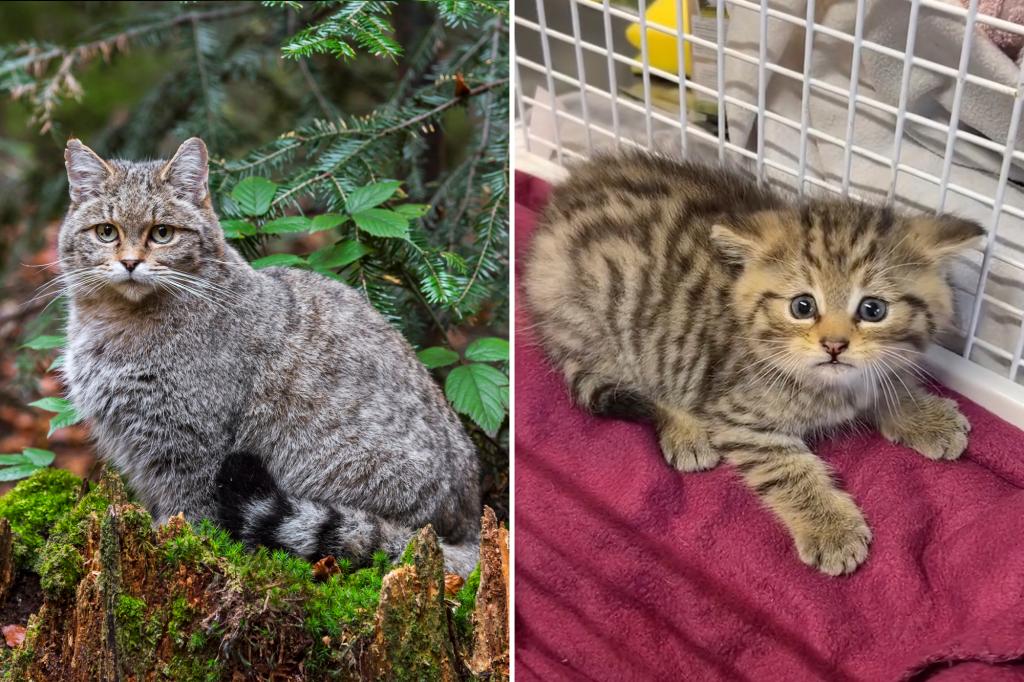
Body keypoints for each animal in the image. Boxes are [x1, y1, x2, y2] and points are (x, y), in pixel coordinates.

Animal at [58, 138, 479, 573]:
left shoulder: (191, 443)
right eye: (107, 232)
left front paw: (177, 547)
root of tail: (468, 529)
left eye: (162, 233)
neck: (117, 322)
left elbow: (190, 512)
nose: (129, 262)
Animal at [528, 150, 983, 573]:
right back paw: (686, 432)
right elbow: (788, 469)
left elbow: (886, 380)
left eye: (873, 310)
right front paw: (831, 527)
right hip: (611, 333)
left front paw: (921, 414)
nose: (834, 345)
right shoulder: (739, 419)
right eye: (802, 306)